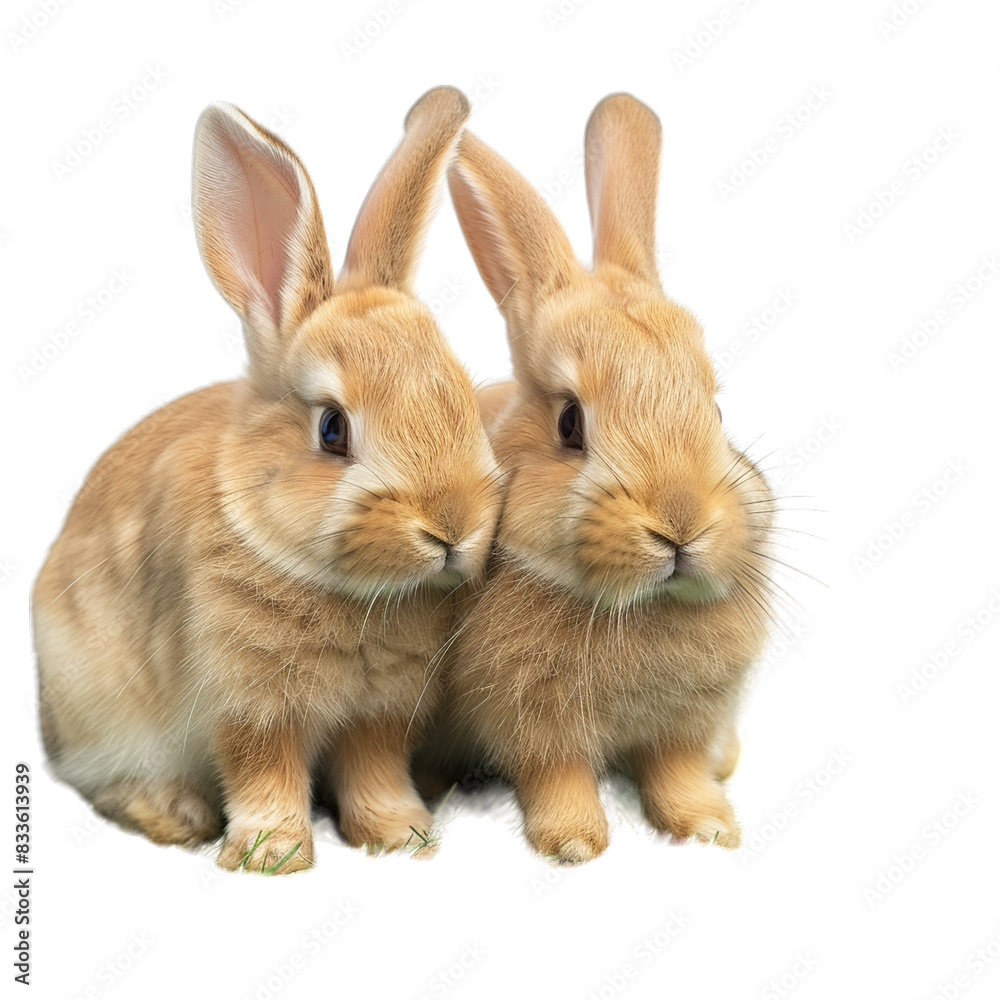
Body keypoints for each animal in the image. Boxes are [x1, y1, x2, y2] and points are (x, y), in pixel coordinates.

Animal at [32, 86, 501, 874]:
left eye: (462, 398)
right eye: (333, 429)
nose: (452, 526)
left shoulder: (381, 713)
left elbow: (375, 770)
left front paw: (401, 836)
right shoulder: (247, 703)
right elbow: (263, 769)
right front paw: (269, 855)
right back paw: (176, 815)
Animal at [433, 93, 776, 862]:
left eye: (715, 409)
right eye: (570, 424)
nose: (681, 523)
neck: (640, 607)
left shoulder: (679, 728)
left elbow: (678, 772)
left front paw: (710, 828)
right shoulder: (535, 726)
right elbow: (557, 776)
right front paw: (574, 843)